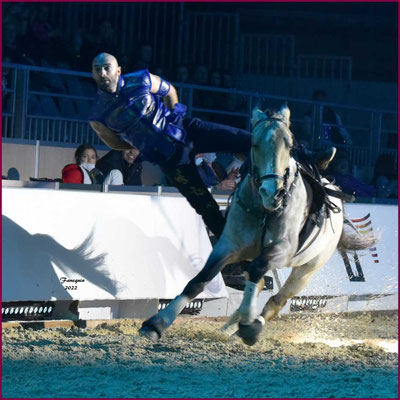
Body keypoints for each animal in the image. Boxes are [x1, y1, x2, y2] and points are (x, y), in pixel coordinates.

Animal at [138, 104, 378, 346]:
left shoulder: (283, 249)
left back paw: (251, 324)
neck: (265, 210)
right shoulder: (227, 246)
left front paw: (249, 325)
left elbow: (257, 270)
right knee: (260, 286)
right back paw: (229, 329)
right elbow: (200, 280)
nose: (273, 192)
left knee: (277, 299)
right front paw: (156, 323)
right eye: (254, 143)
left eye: (289, 145)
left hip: (307, 269)